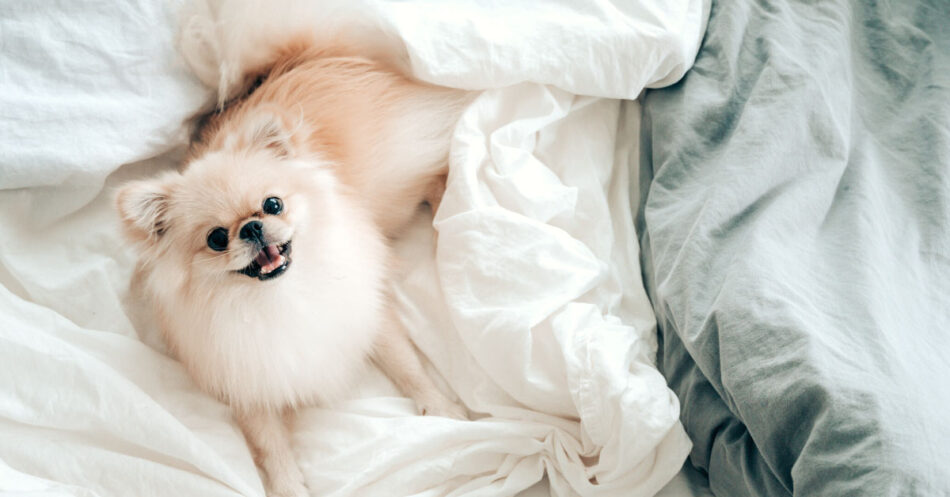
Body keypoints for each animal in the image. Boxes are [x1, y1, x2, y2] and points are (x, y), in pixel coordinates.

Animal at [115, 1, 472, 494]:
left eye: (273, 204)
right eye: (216, 238)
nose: (251, 228)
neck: (280, 298)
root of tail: (307, 58)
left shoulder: (368, 313)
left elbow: (409, 366)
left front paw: (440, 408)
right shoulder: (242, 376)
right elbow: (269, 442)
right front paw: (287, 484)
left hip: (399, 180)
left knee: (435, 173)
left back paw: (445, 206)